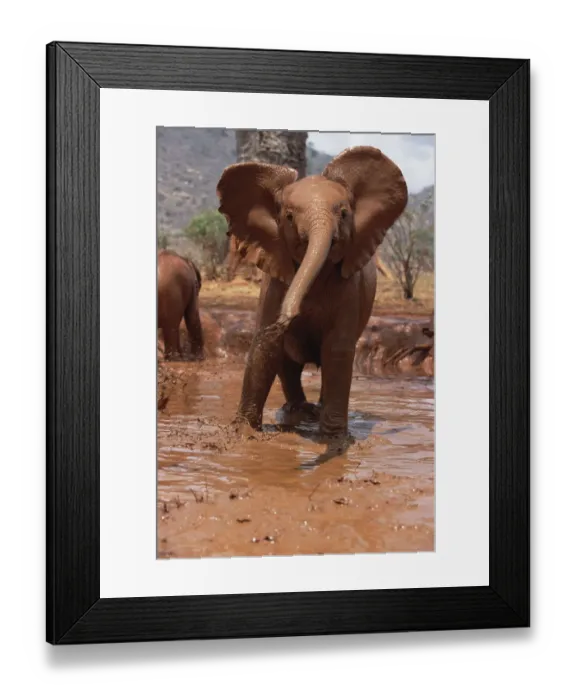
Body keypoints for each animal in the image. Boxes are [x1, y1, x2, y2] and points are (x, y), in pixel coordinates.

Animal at [216, 146, 408, 436]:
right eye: (289, 217)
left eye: (344, 214)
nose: (287, 317)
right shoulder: (275, 283)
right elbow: (265, 346)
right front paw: (243, 432)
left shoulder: (349, 289)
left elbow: (337, 349)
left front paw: (334, 437)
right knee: (288, 364)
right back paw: (299, 410)